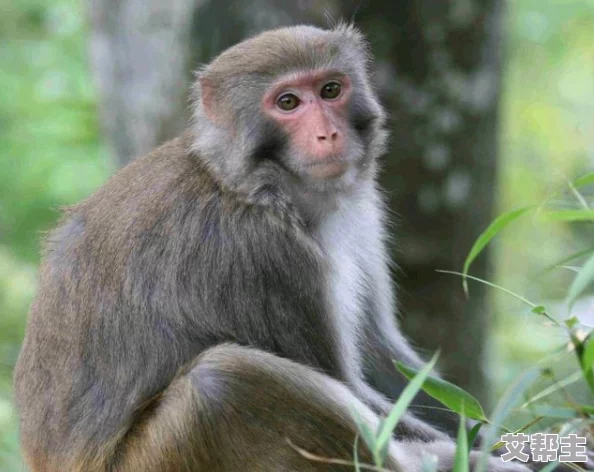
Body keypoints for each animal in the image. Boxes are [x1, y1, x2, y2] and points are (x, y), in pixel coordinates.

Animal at [15, 25, 532, 472]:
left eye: (331, 90)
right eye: (287, 102)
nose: (328, 134)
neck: (256, 186)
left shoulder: (361, 209)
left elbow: (383, 361)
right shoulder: (259, 253)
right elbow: (348, 382)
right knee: (221, 383)